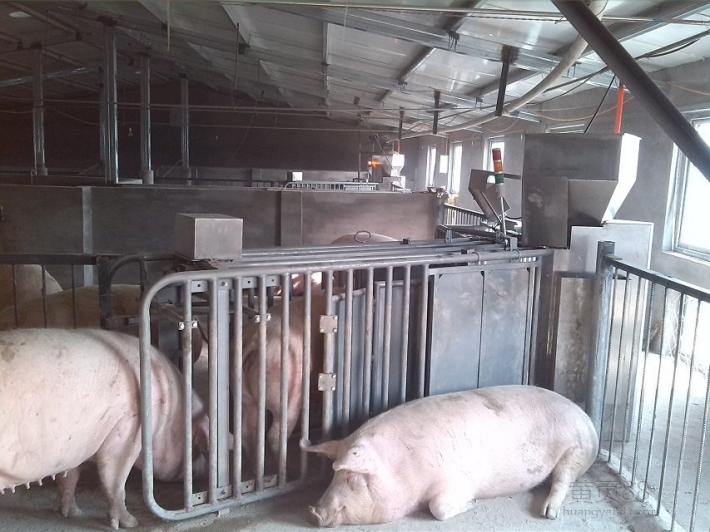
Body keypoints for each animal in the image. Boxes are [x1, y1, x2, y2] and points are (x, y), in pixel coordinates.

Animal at [0, 328, 209, 529]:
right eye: (194, 445)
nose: (203, 474)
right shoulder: (127, 429)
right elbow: (114, 480)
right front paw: (130, 523)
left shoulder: (74, 446)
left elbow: (69, 477)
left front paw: (72, 514)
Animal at [303, 385, 598, 527]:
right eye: (333, 476)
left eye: (353, 477)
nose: (314, 512)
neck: (403, 466)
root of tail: (586, 418)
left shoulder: (455, 481)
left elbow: (439, 507)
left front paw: (473, 503)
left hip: (575, 450)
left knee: (562, 479)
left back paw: (549, 514)